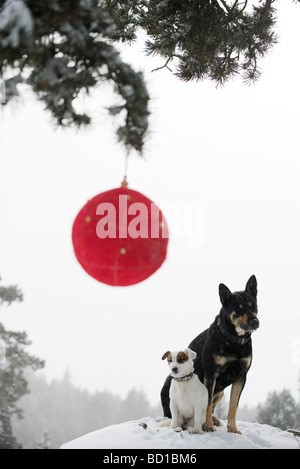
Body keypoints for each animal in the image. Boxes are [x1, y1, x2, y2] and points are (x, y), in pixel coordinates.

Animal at [161, 276, 258, 434]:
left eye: (253, 305)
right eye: (238, 308)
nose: (255, 322)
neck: (233, 341)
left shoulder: (241, 376)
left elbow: (233, 407)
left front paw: (232, 429)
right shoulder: (211, 373)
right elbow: (206, 404)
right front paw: (207, 426)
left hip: (221, 393)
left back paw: (215, 419)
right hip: (169, 385)